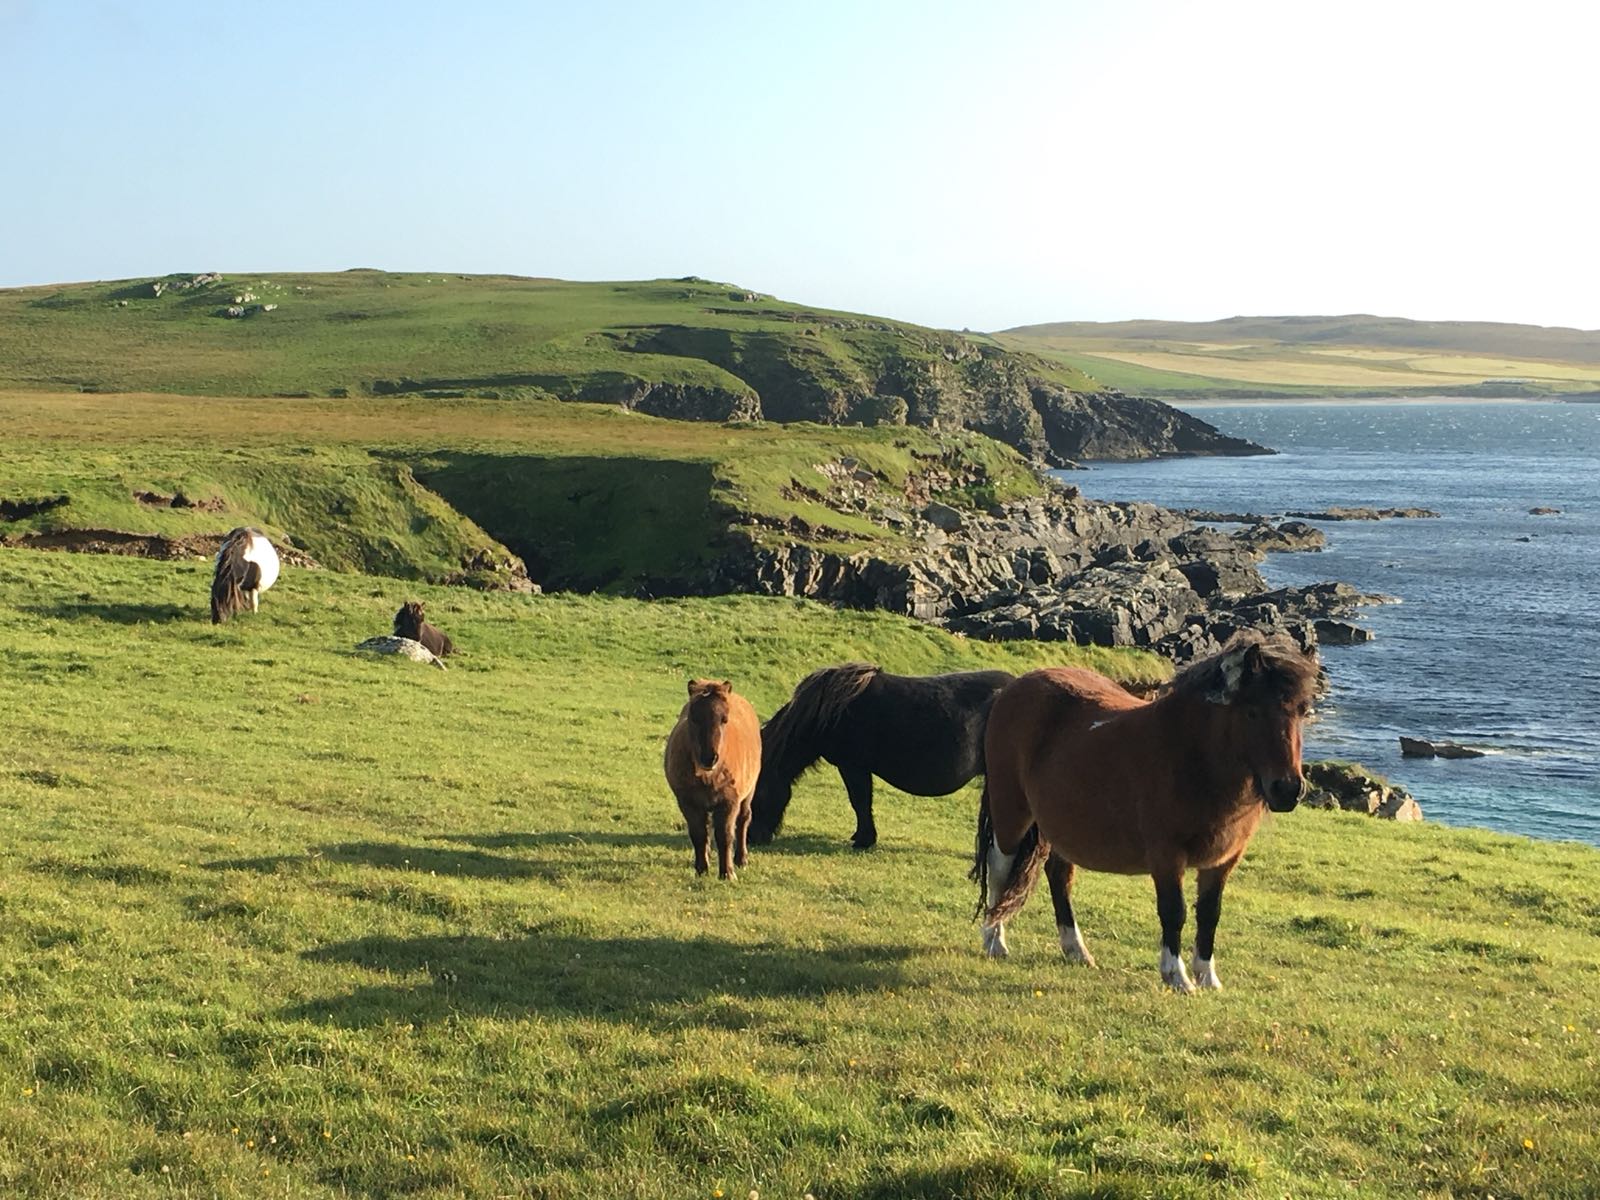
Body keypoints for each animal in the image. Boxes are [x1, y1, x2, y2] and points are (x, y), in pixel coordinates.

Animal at [664, 678, 763, 879]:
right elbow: (699, 834)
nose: (709, 757)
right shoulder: (688, 802)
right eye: (694, 718)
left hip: (749, 792)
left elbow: (725, 836)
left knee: (743, 819)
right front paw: (702, 869)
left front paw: (728, 873)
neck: (709, 776)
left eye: (724, 719)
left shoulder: (729, 801)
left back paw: (741, 859)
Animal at [749, 663, 1014, 849]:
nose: (753, 837)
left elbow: (860, 801)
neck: (828, 713)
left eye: (757, 793)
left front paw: (864, 840)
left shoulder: (853, 766)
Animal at [972, 631, 1319, 993]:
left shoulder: (1223, 860)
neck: (1191, 755)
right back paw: (994, 940)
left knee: (1059, 876)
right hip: (1011, 814)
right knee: (999, 869)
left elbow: (1210, 914)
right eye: (1252, 712)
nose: (1287, 789)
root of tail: (1013, 688)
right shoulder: (1166, 856)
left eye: (1303, 711)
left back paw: (1076, 950)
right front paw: (1177, 976)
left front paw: (1207, 977)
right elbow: (1174, 912)